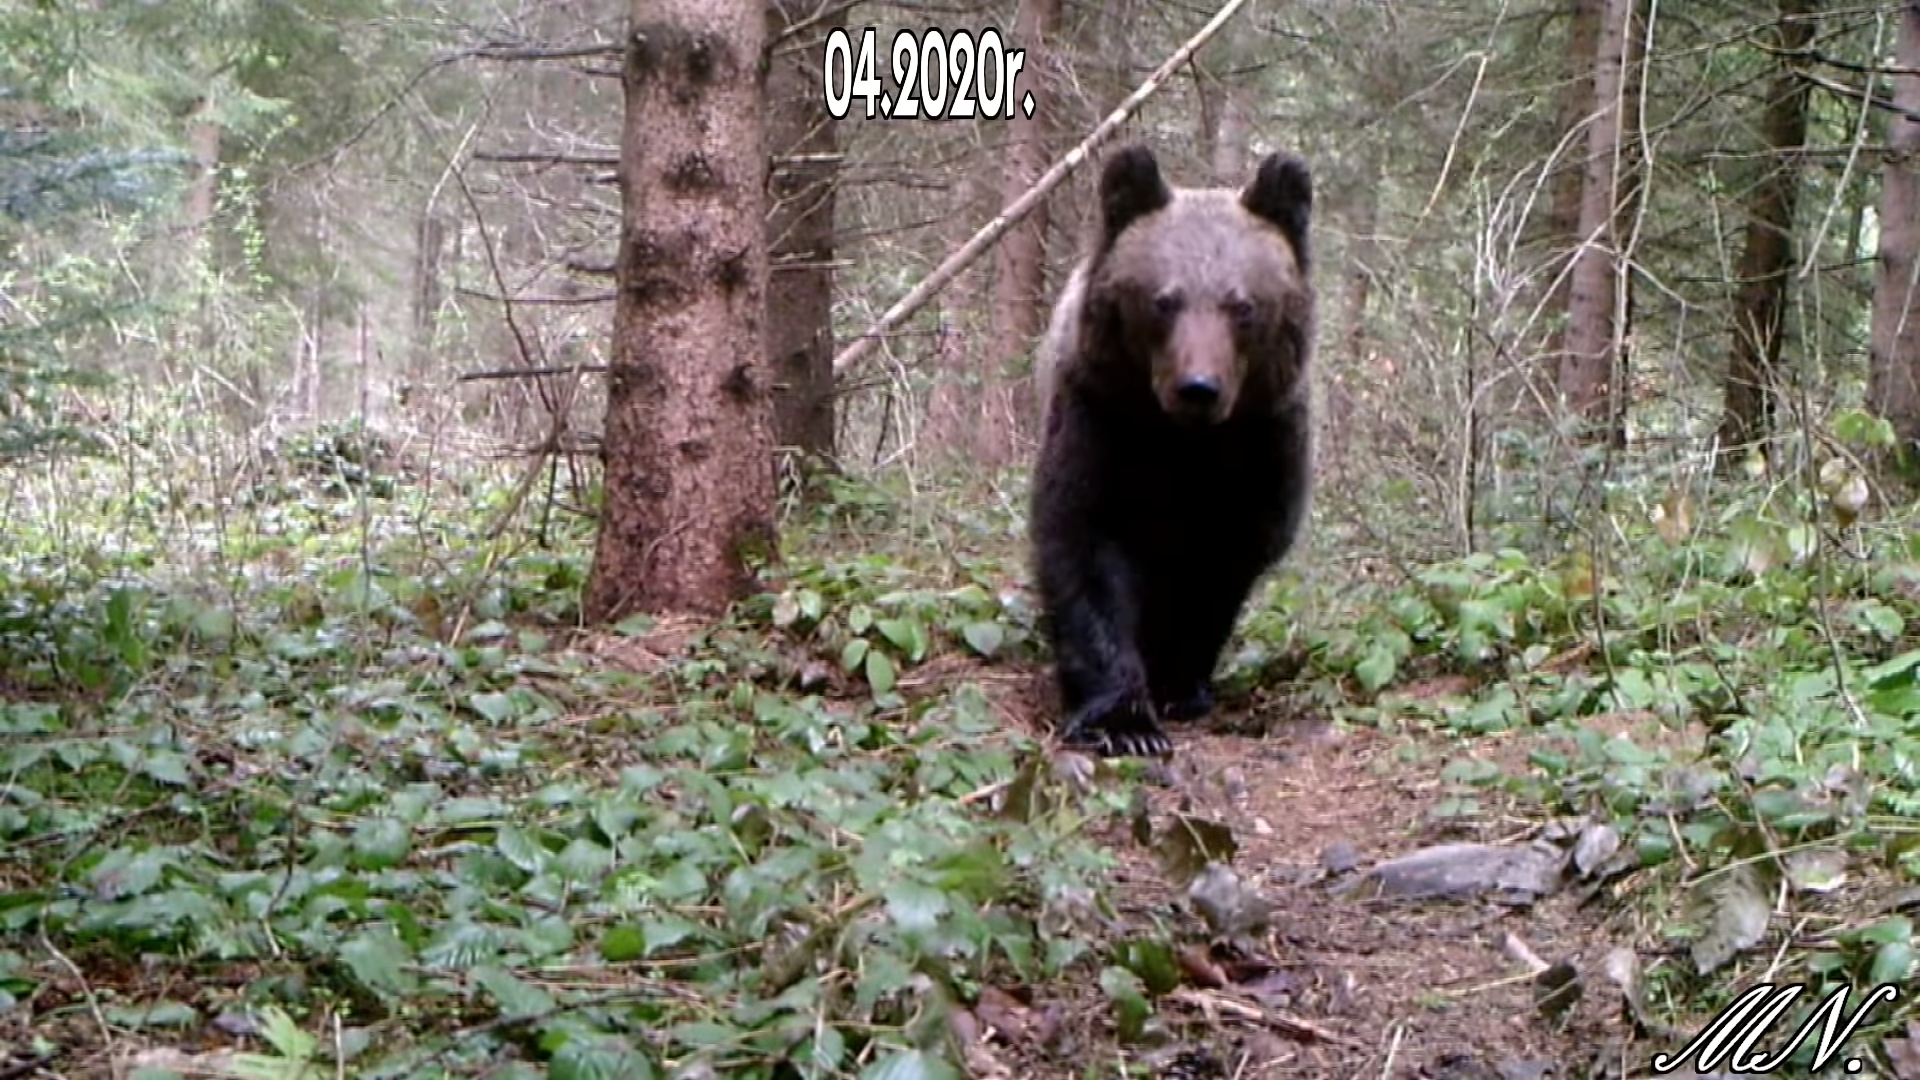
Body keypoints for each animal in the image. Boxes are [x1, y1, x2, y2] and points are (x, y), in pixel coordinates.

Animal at [1029, 138, 1313, 753]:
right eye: (1164, 300)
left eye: (1242, 305)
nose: (1198, 388)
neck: (1184, 444)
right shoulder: (1100, 420)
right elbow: (1082, 544)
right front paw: (1123, 720)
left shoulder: (1261, 448)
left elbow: (1216, 572)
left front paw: (1179, 683)